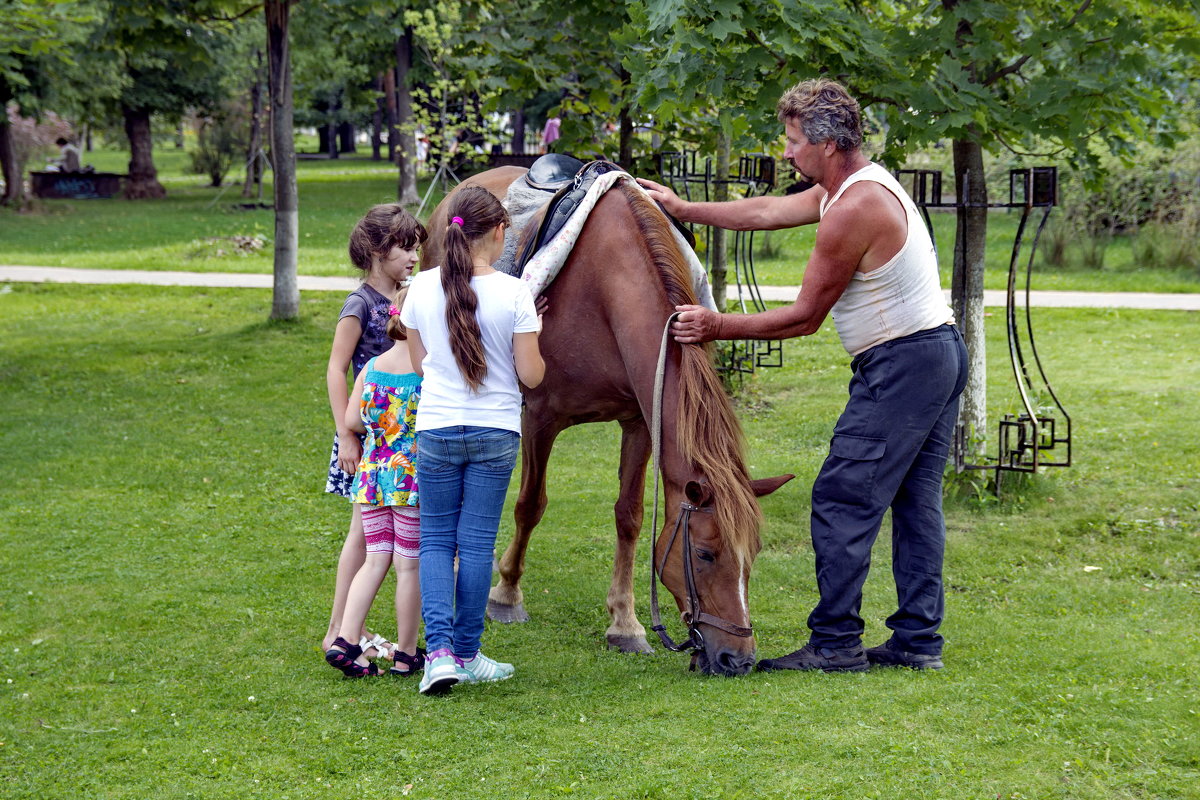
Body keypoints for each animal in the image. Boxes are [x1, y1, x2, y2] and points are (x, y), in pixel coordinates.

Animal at [424, 167, 796, 676]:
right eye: (705, 554)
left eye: (753, 555)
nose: (738, 659)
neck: (607, 293)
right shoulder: (541, 417)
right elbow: (530, 505)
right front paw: (506, 594)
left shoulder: (639, 422)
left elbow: (630, 517)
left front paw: (624, 623)